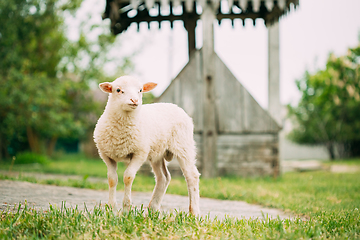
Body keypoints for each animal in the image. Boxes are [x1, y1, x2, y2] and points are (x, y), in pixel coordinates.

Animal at [93, 75, 200, 216]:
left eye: (140, 90)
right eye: (118, 90)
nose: (134, 100)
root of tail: (174, 105)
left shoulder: (140, 153)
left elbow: (128, 177)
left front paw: (126, 209)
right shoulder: (106, 155)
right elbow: (112, 179)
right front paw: (111, 209)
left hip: (183, 146)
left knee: (192, 176)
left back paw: (194, 212)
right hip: (157, 153)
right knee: (163, 178)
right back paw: (153, 208)